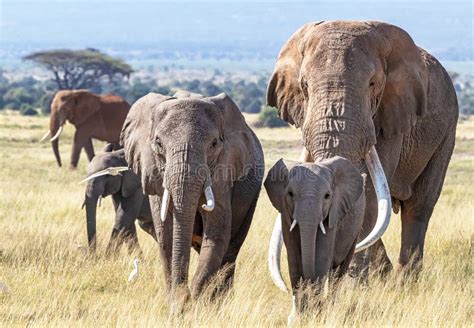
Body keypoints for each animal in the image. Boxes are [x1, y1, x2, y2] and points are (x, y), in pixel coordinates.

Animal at [120, 91, 264, 308]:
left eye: (214, 144)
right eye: (158, 143)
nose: (184, 299)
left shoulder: (224, 172)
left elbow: (217, 234)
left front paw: (195, 302)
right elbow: (166, 236)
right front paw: (178, 302)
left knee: (231, 250)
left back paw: (221, 302)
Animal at [266, 21, 456, 290]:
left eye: (372, 84)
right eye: (304, 86)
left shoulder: (391, 117)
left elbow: (367, 194)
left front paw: (353, 286)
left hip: (446, 132)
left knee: (419, 206)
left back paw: (405, 284)